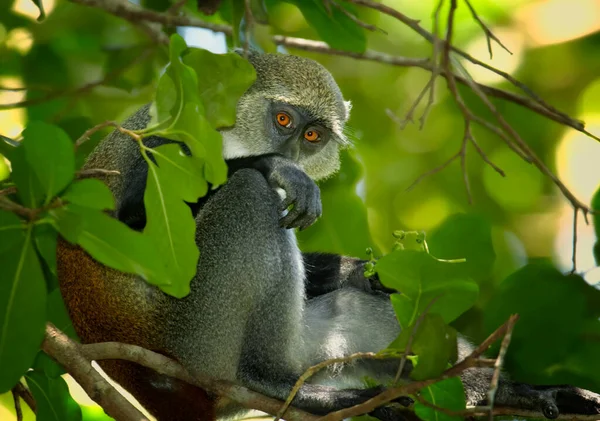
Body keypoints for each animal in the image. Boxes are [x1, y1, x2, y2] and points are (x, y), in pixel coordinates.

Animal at [57, 50, 600, 418]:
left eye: (313, 135)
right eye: (283, 119)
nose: (294, 152)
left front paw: (359, 268)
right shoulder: (163, 143)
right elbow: (133, 230)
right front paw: (277, 168)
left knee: (356, 307)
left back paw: (496, 391)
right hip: (196, 340)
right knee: (247, 196)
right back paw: (275, 381)